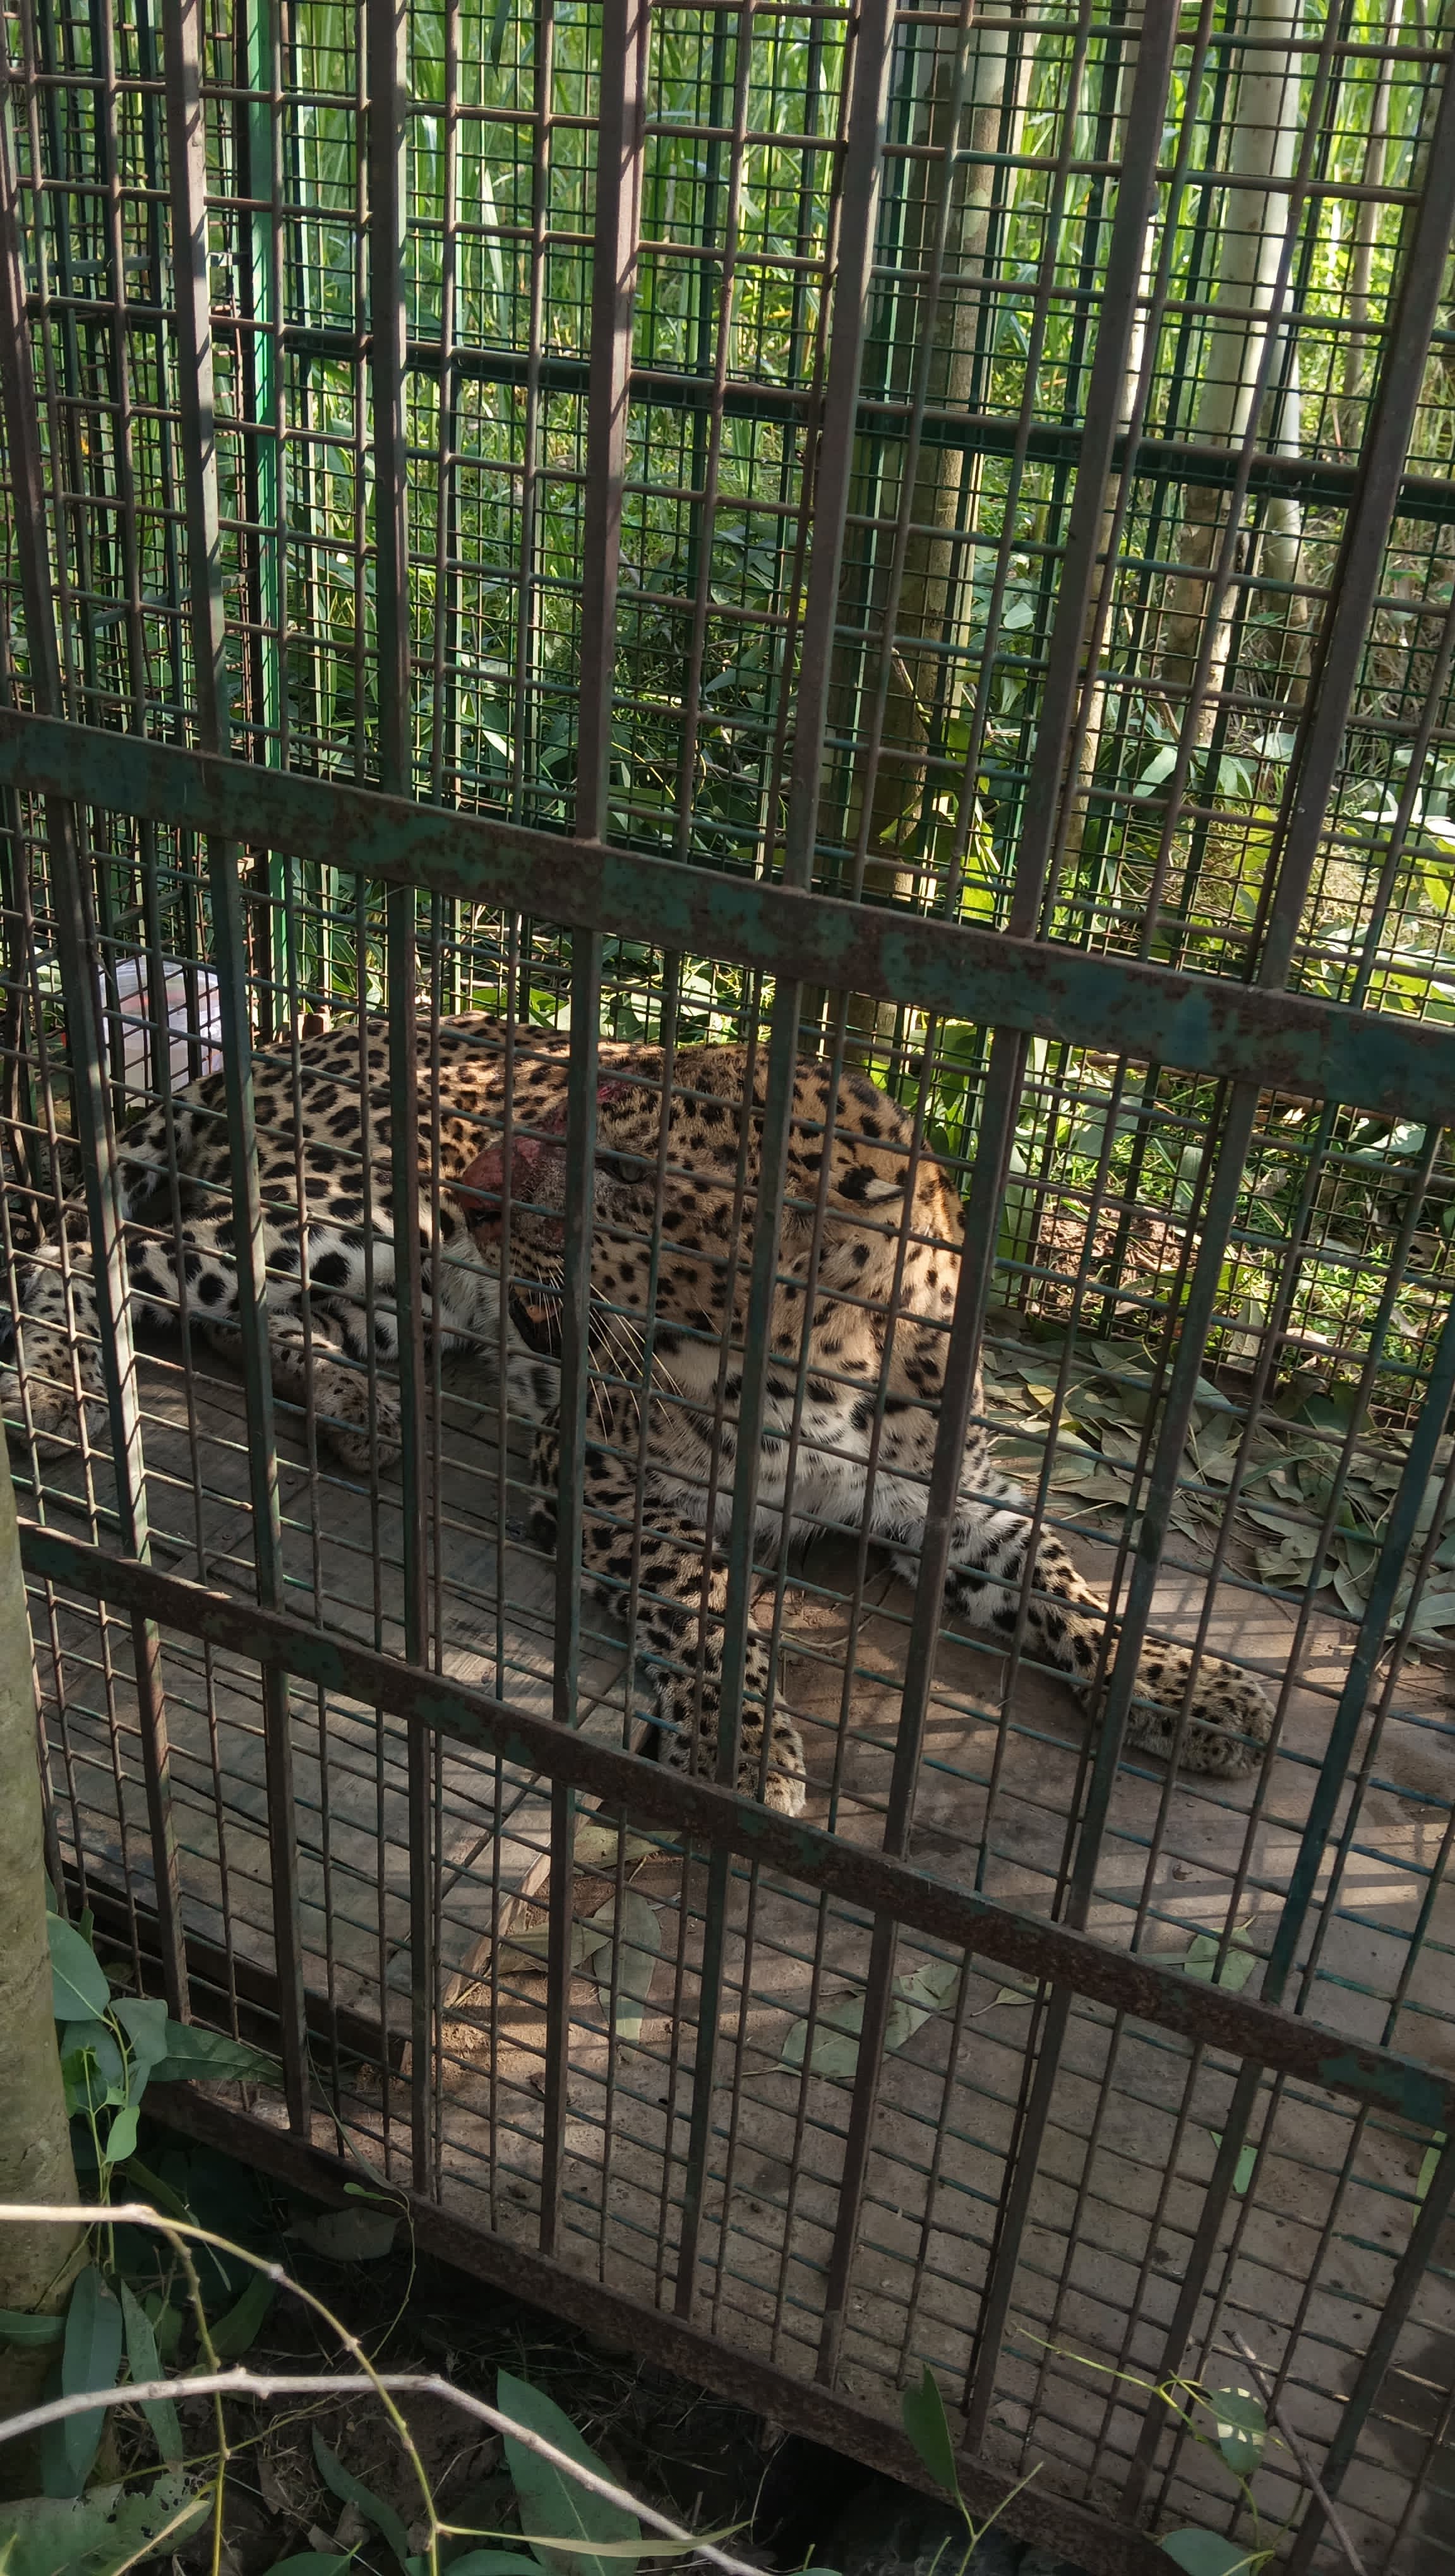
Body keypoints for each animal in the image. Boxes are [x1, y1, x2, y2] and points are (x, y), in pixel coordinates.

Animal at [1, 1014, 1273, 1811]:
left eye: (622, 1173)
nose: (479, 1196)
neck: (819, 1368)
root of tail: (284, 1041)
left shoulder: (960, 1499)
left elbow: (1060, 1573)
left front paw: (1182, 1682)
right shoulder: (607, 1470)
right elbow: (706, 1601)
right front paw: (742, 1742)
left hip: (403, 1292)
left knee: (243, 1319)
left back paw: (354, 1406)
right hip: (342, 1211)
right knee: (85, 1255)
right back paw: (47, 1390)